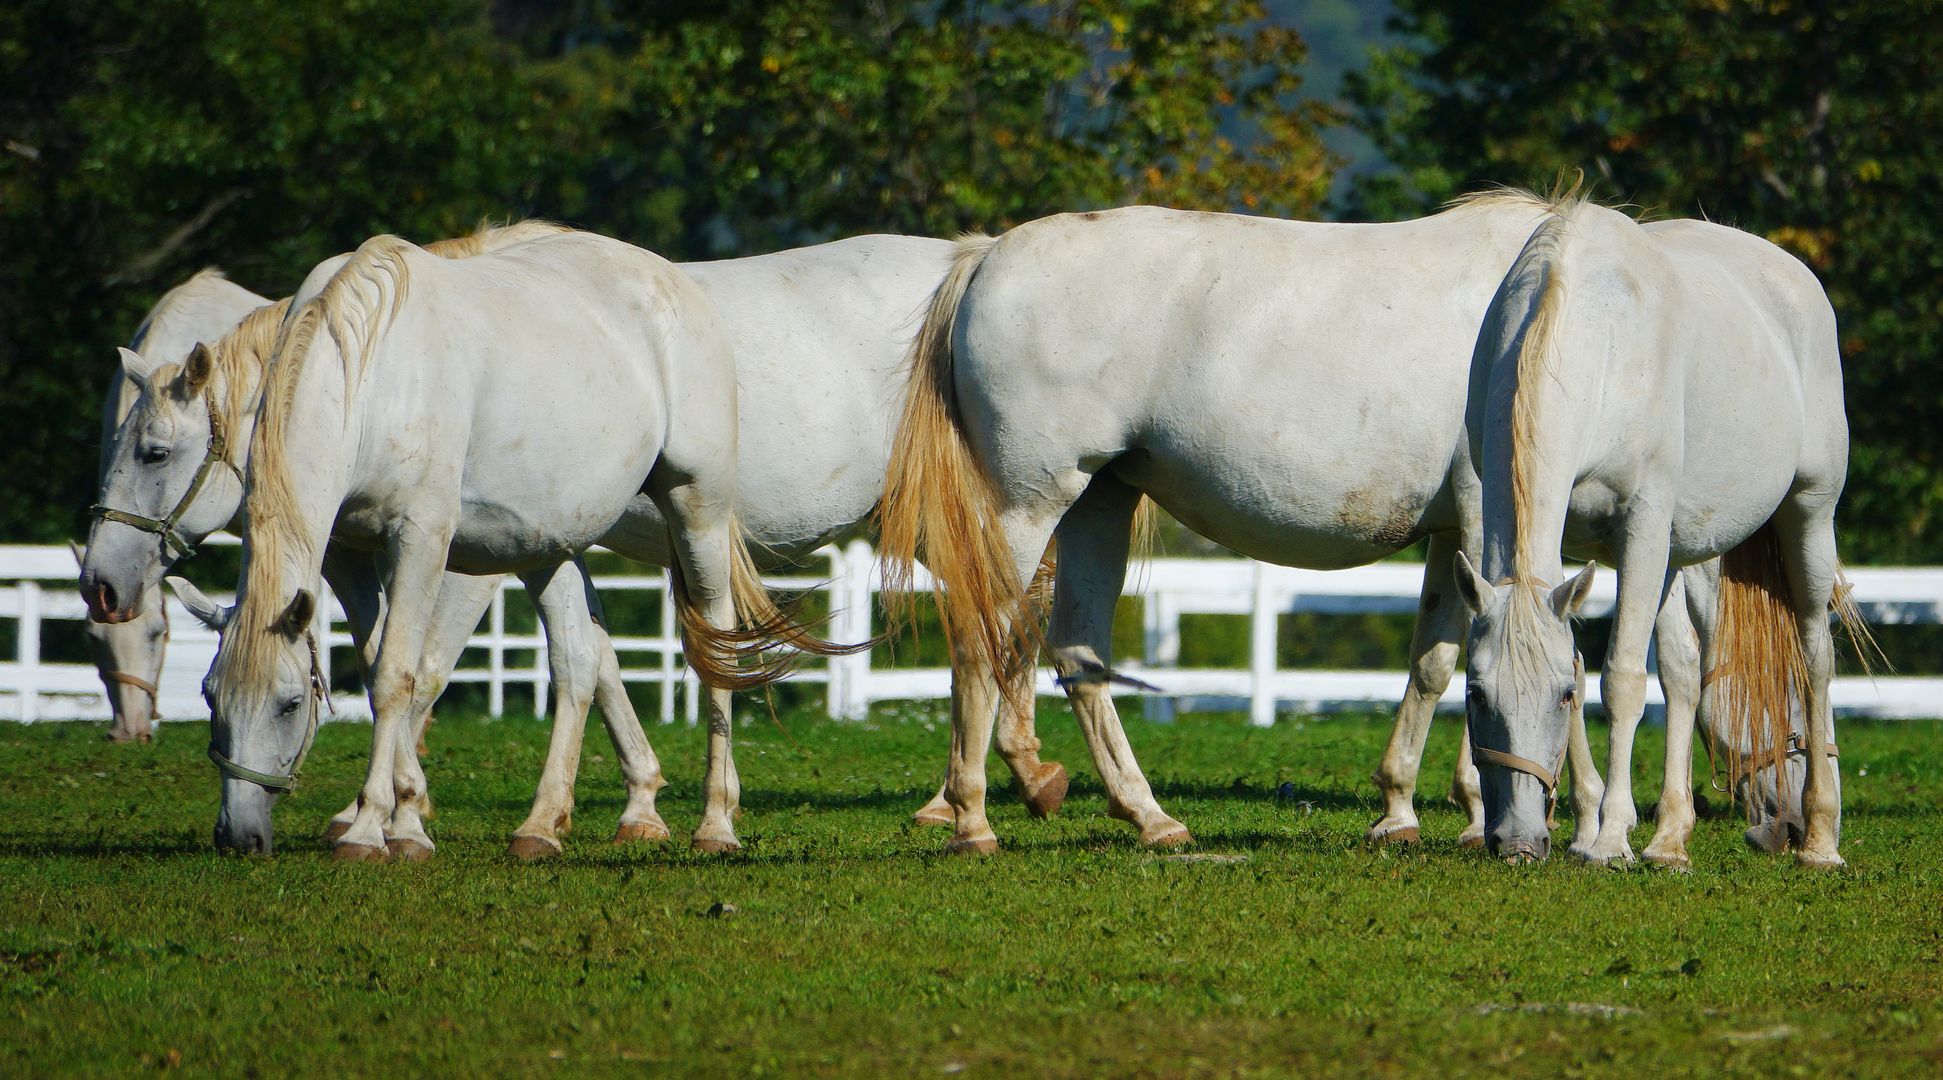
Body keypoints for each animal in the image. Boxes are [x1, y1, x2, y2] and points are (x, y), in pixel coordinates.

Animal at [193, 232, 854, 866]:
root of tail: (674, 282)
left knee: (715, 647)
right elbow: (382, 660)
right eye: (210, 697)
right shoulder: (346, 552)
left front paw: (368, 830)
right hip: (549, 547)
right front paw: (404, 821)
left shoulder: (420, 537)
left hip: (698, 511)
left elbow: (397, 675)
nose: (237, 837)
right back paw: (541, 827)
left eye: (289, 704)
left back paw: (715, 824)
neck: (373, 372)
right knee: (576, 662)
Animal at [882, 202, 1748, 862]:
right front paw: (1518, 809)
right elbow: (1491, 654)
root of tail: (987, 257)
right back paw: (971, 820)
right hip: (1027, 505)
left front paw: (1406, 808)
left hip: (1099, 499)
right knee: (980, 640)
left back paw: (1148, 816)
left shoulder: (1451, 532)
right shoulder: (1483, 516)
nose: (1735, 787)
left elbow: (1434, 662)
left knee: (1076, 652)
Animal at [1461, 192, 1857, 870]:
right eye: (1477, 694)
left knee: (1814, 656)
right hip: (1672, 555)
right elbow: (1616, 665)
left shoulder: (1641, 525)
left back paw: (1821, 840)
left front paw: (1610, 838)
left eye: (1560, 696)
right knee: (1683, 672)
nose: (1517, 843)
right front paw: (1593, 829)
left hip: (1807, 516)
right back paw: (1670, 838)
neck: (1596, 337)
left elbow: (1621, 677)